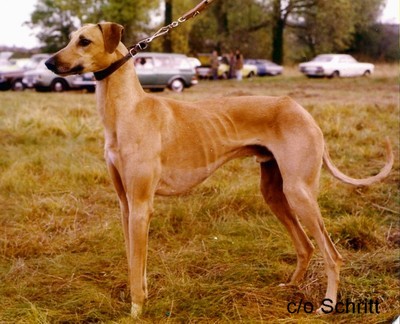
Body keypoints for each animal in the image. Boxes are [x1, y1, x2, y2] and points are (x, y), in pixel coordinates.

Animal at [44, 23, 394, 318]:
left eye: (84, 41)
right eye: (69, 39)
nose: (48, 63)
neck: (129, 110)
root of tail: (301, 110)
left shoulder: (142, 204)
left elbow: (136, 262)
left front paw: (136, 310)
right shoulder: (125, 204)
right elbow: (134, 261)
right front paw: (138, 298)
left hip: (300, 193)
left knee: (332, 254)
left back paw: (327, 305)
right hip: (275, 192)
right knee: (306, 246)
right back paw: (291, 287)